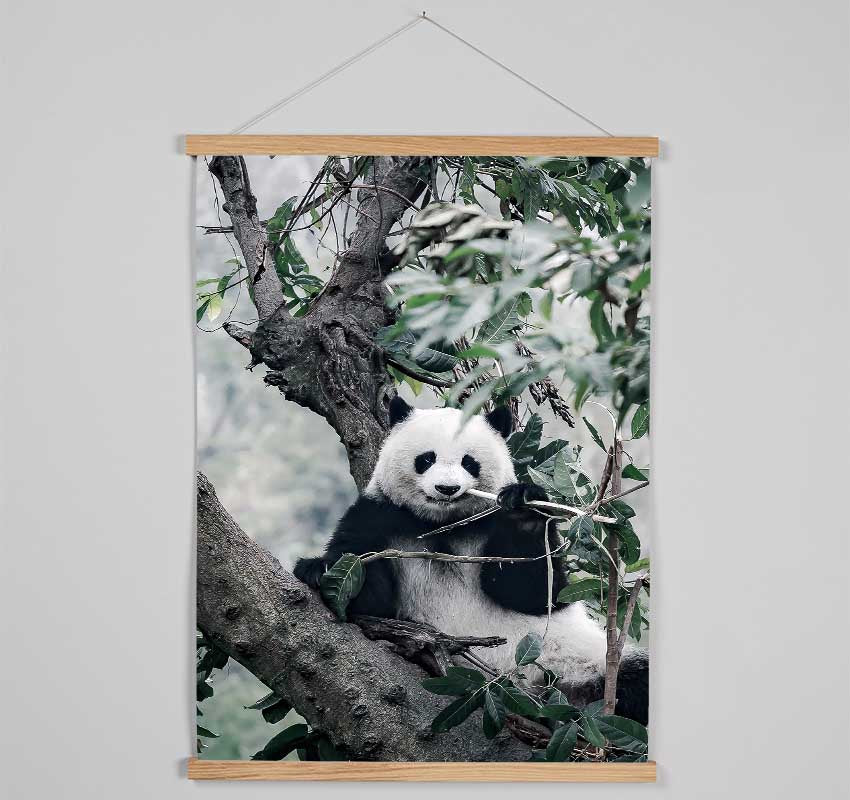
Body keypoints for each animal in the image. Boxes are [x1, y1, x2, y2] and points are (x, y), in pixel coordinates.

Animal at [294, 396, 648, 724]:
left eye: (469, 462)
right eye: (426, 459)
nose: (447, 488)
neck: (442, 524)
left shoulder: (490, 523)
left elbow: (536, 595)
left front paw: (523, 509)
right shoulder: (380, 516)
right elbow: (370, 601)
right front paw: (319, 570)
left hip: (578, 662)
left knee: (635, 680)